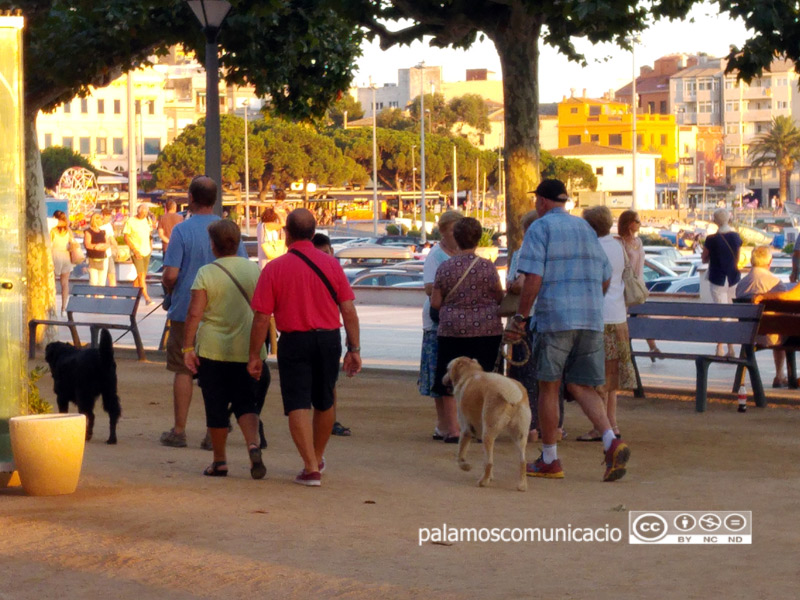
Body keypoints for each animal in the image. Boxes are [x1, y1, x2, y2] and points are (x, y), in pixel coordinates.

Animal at [444, 356, 532, 492]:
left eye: (447, 369)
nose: (442, 379)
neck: (471, 373)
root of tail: (513, 393)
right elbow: (484, 460)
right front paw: (490, 476)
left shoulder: (466, 430)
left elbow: (460, 455)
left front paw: (465, 466)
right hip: (519, 436)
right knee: (522, 461)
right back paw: (522, 485)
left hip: (488, 434)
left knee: (489, 462)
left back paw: (483, 482)